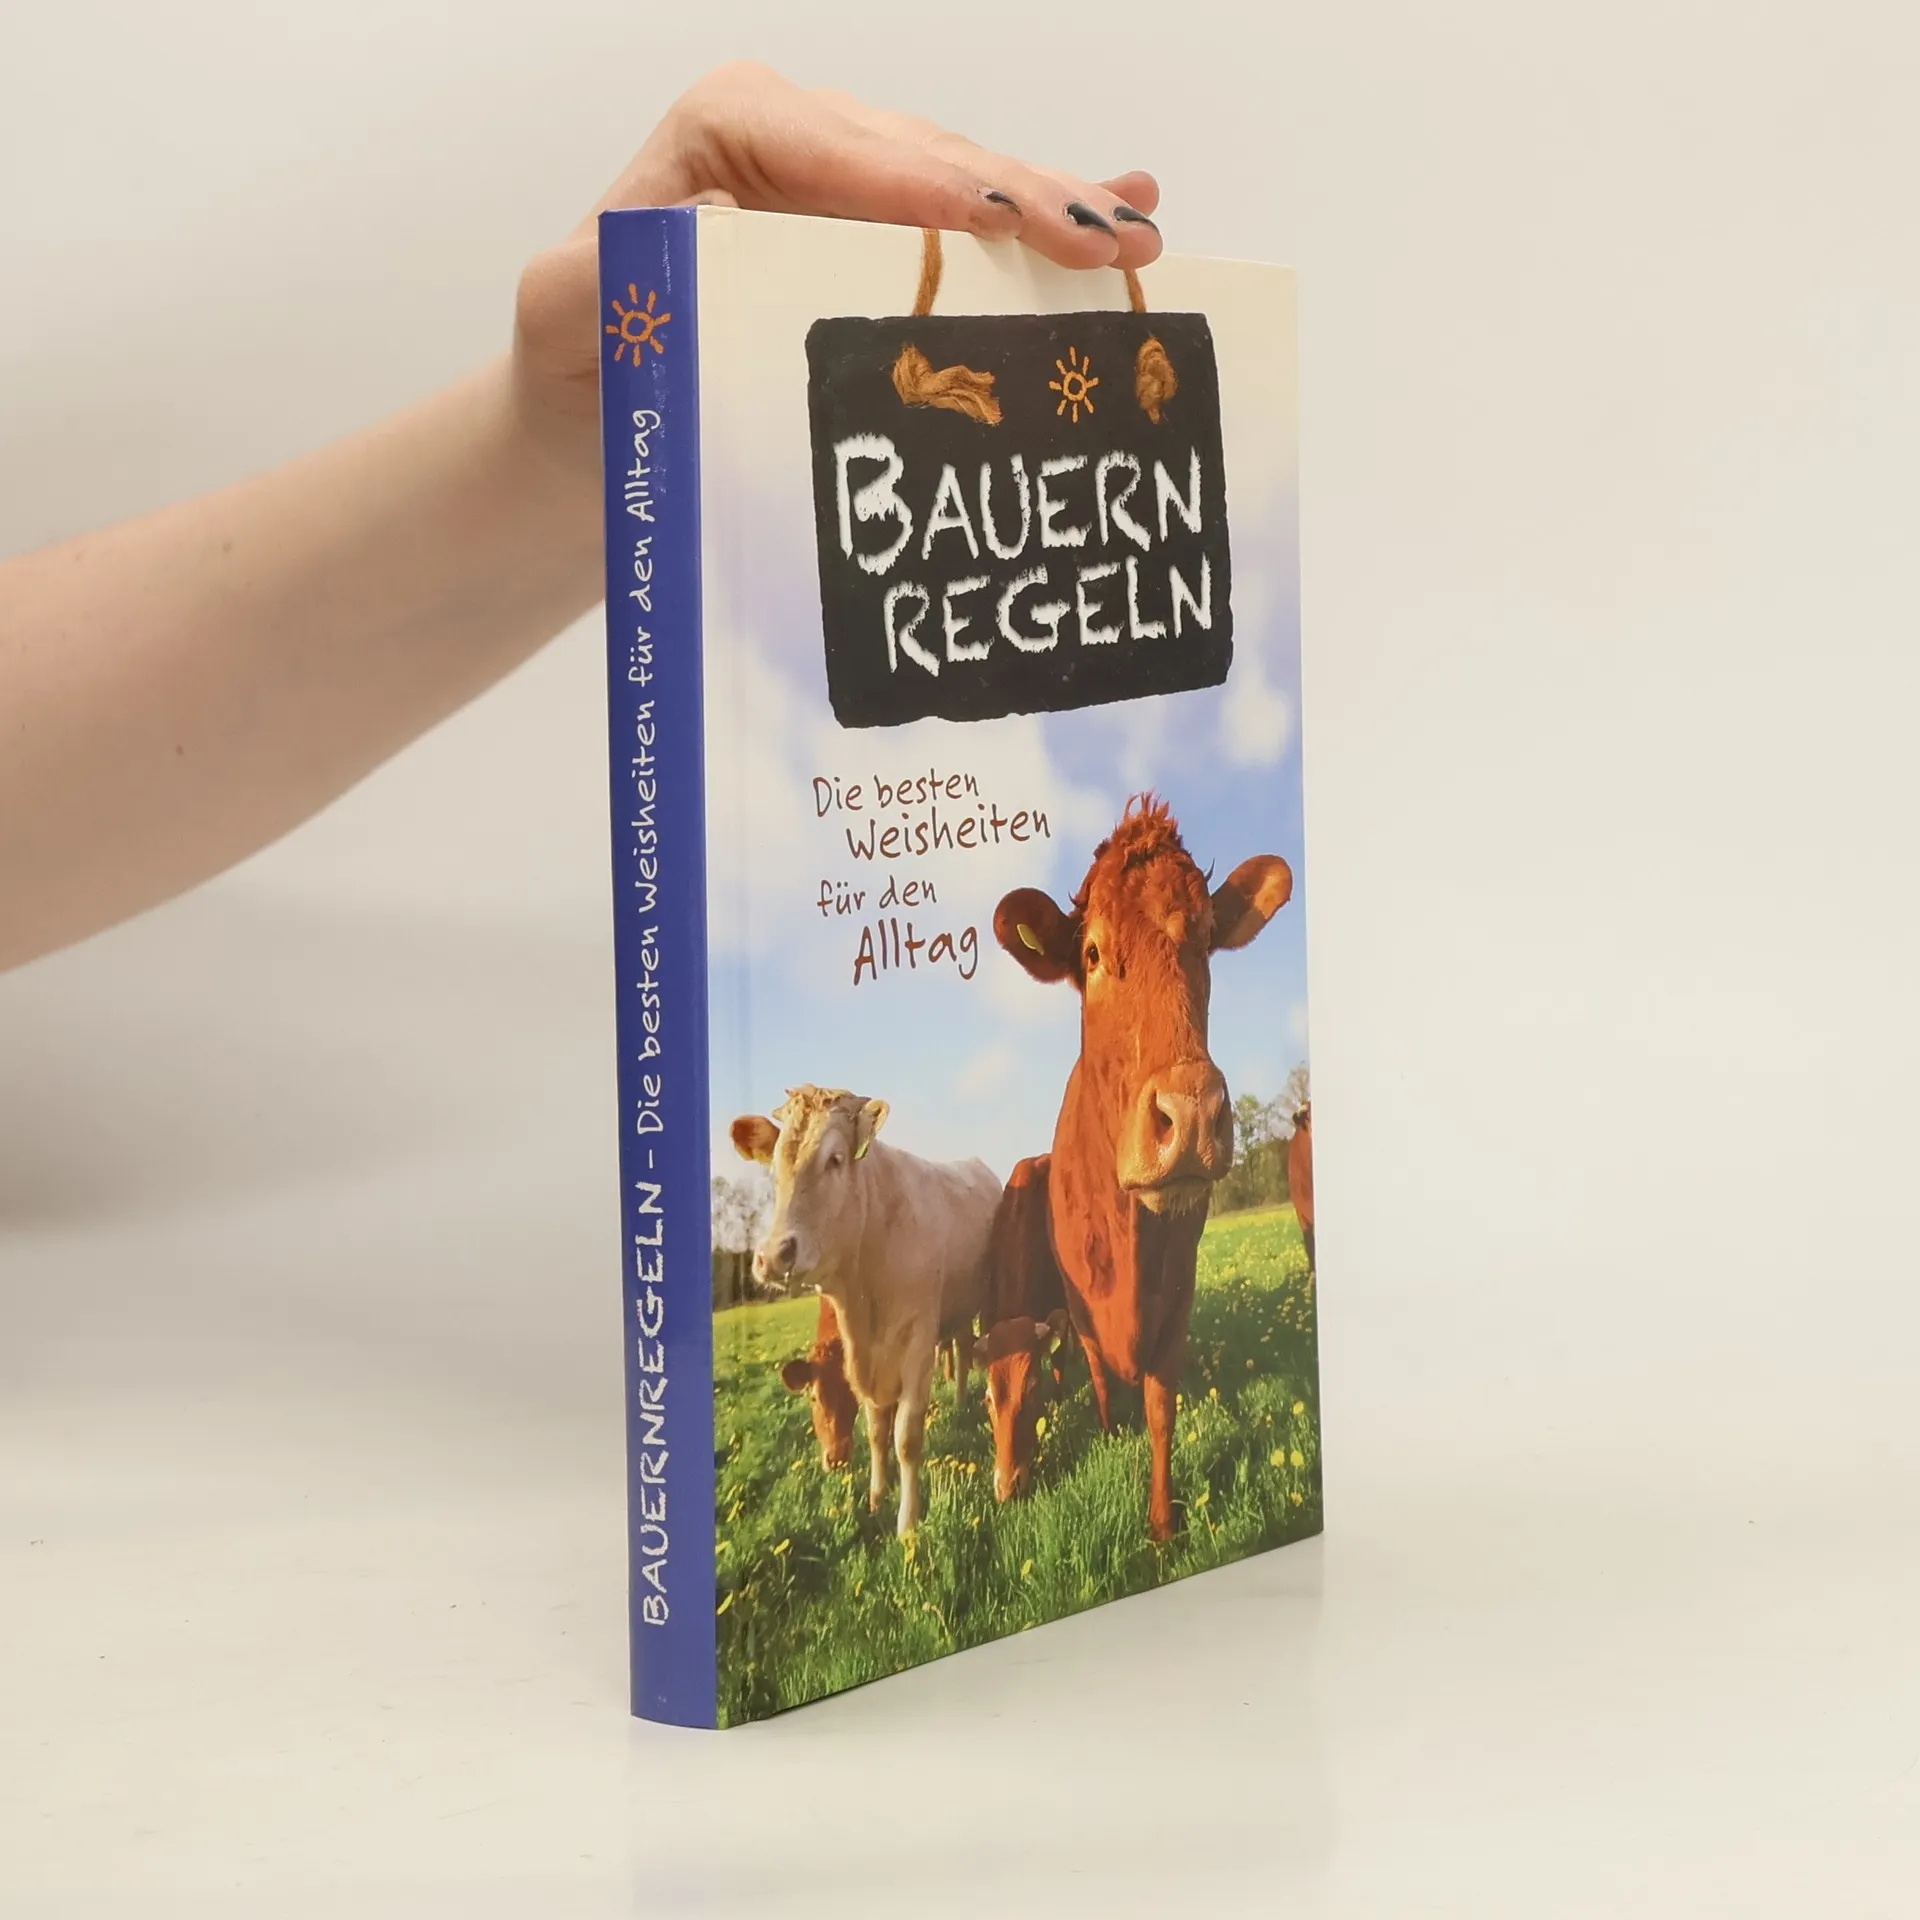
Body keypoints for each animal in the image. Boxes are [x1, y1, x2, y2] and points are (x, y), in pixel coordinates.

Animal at [994, 795, 1294, 1541]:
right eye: (1093, 952)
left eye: (1207, 941)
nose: (1190, 1113)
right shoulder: (1080, 1308)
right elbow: (1104, 1381)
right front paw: (1109, 1434)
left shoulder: (1177, 1294)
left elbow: (1162, 1406)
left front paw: (1162, 1526)